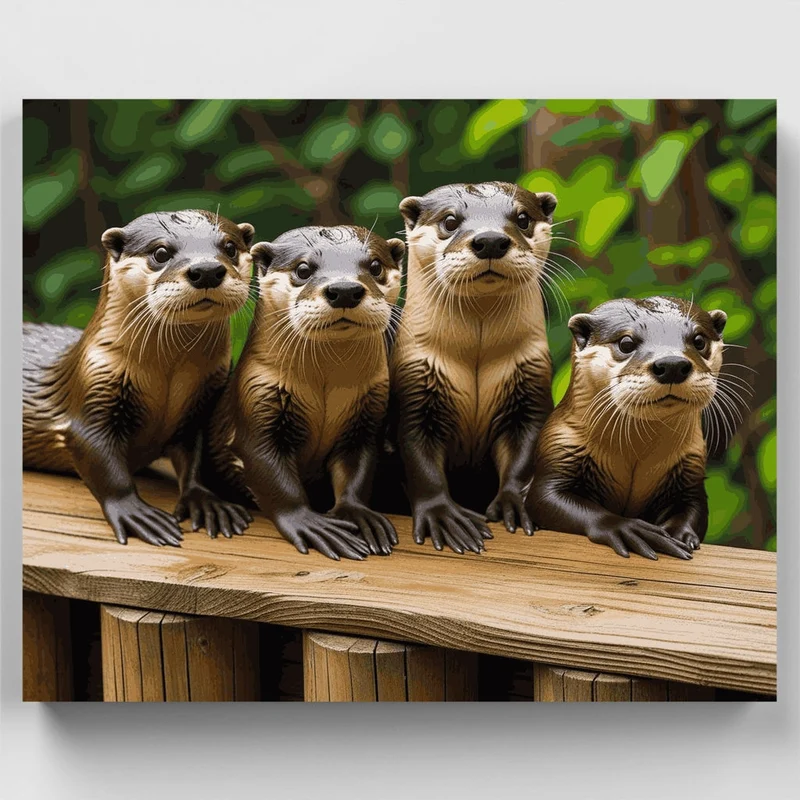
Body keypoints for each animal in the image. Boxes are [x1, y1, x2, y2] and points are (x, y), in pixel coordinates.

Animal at [23, 210, 255, 547]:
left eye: (230, 248)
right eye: (160, 252)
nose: (207, 271)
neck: (167, 375)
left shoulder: (204, 399)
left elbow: (196, 457)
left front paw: (206, 501)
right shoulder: (94, 383)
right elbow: (102, 463)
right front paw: (136, 513)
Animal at [207, 225, 404, 561]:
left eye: (375, 266)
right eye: (302, 269)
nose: (345, 289)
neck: (324, 385)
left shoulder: (367, 411)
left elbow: (357, 468)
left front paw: (359, 515)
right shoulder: (258, 397)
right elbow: (272, 476)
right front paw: (310, 523)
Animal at [391, 181, 558, 554]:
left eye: (522, 218)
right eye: (450, 221)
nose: (491, 240)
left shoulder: (529, 381)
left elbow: (525, 451)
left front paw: (514, 503)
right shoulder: (416, 381)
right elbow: (418, 457)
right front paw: (442, 515)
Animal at [527, 296, 729, 560]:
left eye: (699, 340)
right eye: (626, 343)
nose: (672, 364)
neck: (635, 453)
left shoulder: (690, 464)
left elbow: (694, 506)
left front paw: (678, 533)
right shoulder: (560, 444)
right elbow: (542, 498)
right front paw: (627, 528)